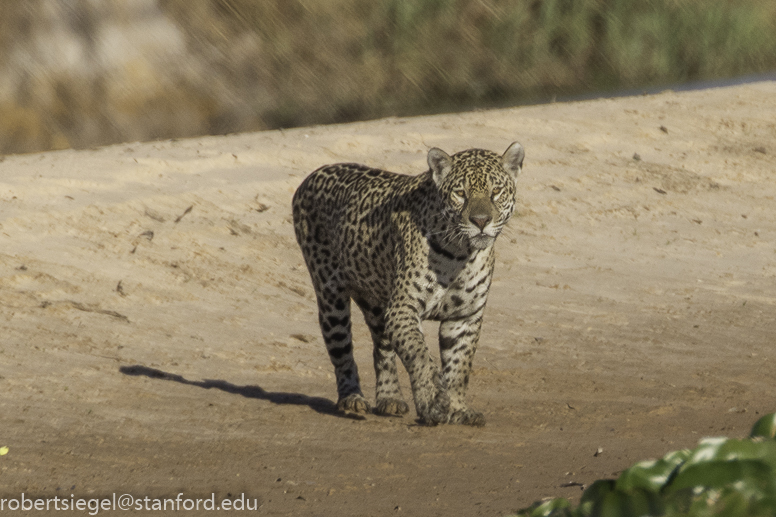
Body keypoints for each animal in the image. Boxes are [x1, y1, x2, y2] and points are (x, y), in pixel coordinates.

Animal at [292, 141, 524, 426]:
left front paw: (458, 409)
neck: (461, 255)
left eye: (496, 192)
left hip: (377, 303)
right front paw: (432, 400)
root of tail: (313, 175)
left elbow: (459, 367)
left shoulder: (464, 317)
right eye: (460, 193)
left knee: (382, 350)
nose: (481, 221)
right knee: (342, 353)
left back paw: (390, 398)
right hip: (331, 298)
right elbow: (419, 354)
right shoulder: (403, 309)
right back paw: (352, 398)